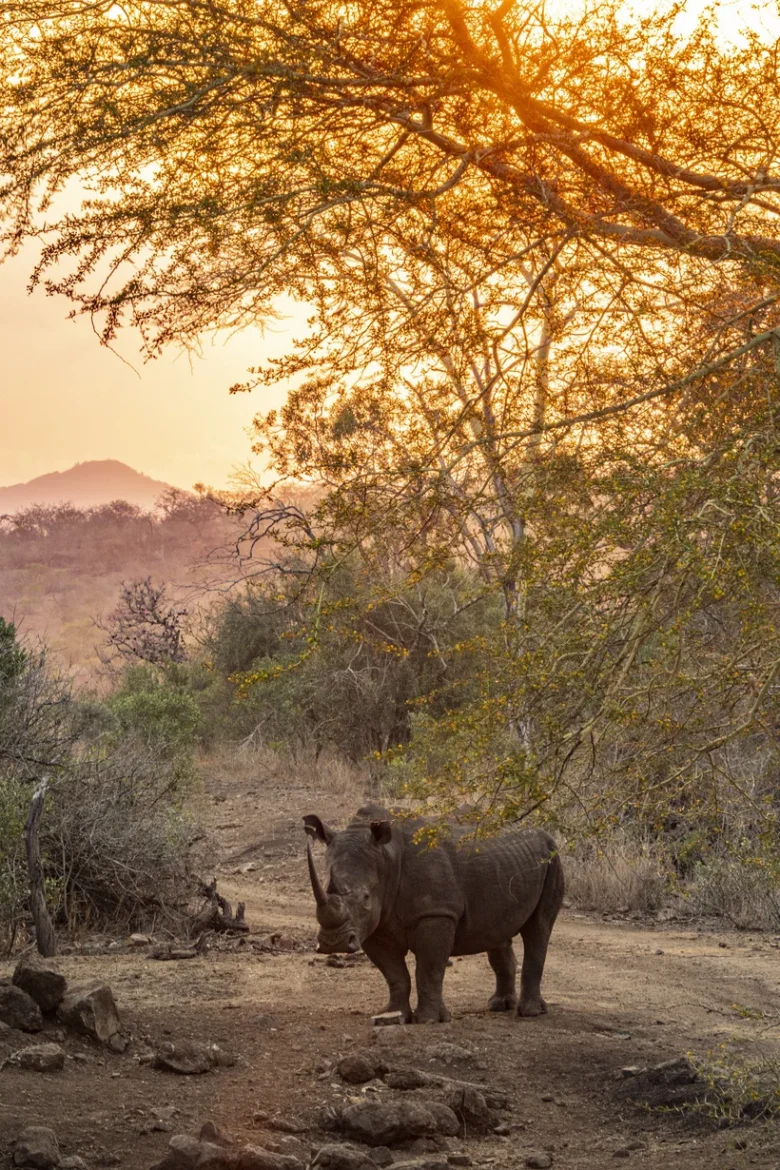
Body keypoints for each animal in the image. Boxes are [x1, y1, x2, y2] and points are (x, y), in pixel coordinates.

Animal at [303, 804, 564, 1024]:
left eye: (366, 898)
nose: (333, 943)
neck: (387, 856)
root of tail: (544, 834)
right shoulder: (374, 926)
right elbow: (394, 974)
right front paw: (392, 1014)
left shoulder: (436, 913)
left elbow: (429, 969)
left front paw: (429, 1020)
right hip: (507, 864)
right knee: (497, 930)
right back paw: (499, 1006)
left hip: (553, 858)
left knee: (538, 928)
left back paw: (530, 1013)